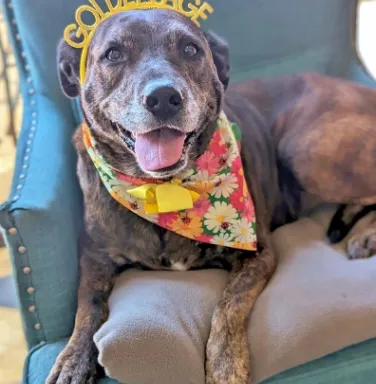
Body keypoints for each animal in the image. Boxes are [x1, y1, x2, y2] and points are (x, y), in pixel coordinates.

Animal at [47, 8, 376, 384]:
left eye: (191, 50)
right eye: (113, 54)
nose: (163, 97)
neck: (166, 189)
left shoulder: (258, 254)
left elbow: (227, 307)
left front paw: (226, 365)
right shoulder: (93, 257)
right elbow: (87, 306)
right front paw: (73, 360)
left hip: (305, 150)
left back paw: (366, 235)